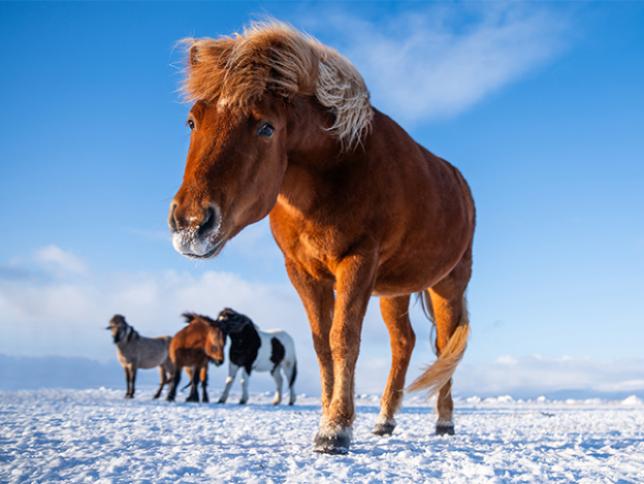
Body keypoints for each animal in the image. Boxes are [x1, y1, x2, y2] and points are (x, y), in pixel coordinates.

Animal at [168, 22, 475, 454]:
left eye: (266, 126)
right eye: (192, 121)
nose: (192, 225)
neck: (336, 169)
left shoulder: (357, 261)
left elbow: (343, 338)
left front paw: (335, 430)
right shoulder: (302, 272)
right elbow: (320, 343)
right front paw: (331, 417)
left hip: (448, 283)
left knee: (446, 344)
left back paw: (444, 420)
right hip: (394, 291)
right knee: (404, 344)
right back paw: (385, 419)